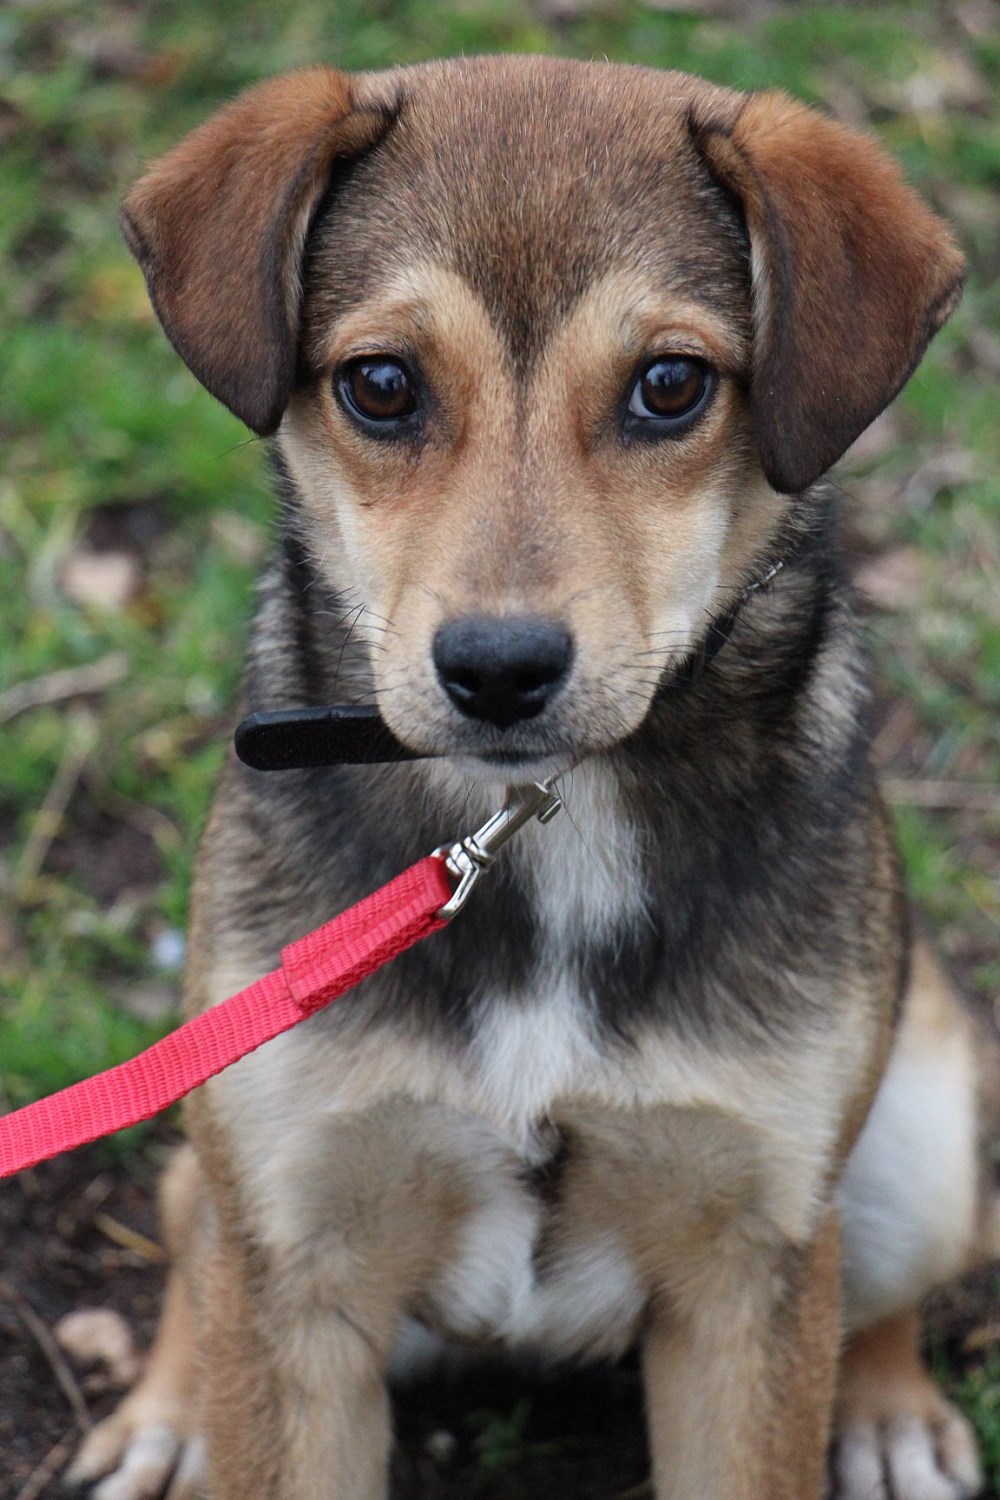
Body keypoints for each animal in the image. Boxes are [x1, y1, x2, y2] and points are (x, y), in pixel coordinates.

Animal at [64, 55, 999, 1500]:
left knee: (879, 1288)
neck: (540, 829)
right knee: (191, 1221)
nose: (498, 670)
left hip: (921, 1146)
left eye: (669, 384)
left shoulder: (750, 1272)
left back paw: (890, 1413)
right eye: (380, 384)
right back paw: (170, 1415)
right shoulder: (301, 1251)